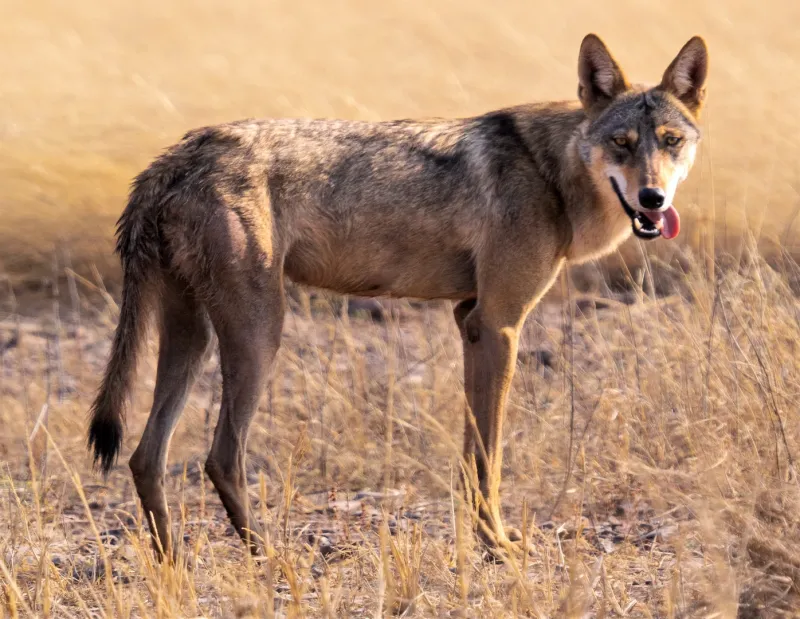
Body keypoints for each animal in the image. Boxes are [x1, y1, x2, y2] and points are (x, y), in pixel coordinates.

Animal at [87, 33, 708, 559]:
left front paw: (481, 541)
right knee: (219, 457)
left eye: (671, 143)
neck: (552, 174)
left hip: (191, 337)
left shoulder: (470, 320)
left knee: (145, 457)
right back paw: (268, 556)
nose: (652, 199)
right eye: (621, 144)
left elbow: (470, 455)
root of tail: (173, 157)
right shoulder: (500, 324)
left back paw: (173, 563)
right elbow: (490, 455)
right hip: (260, 333)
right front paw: (498, 545)